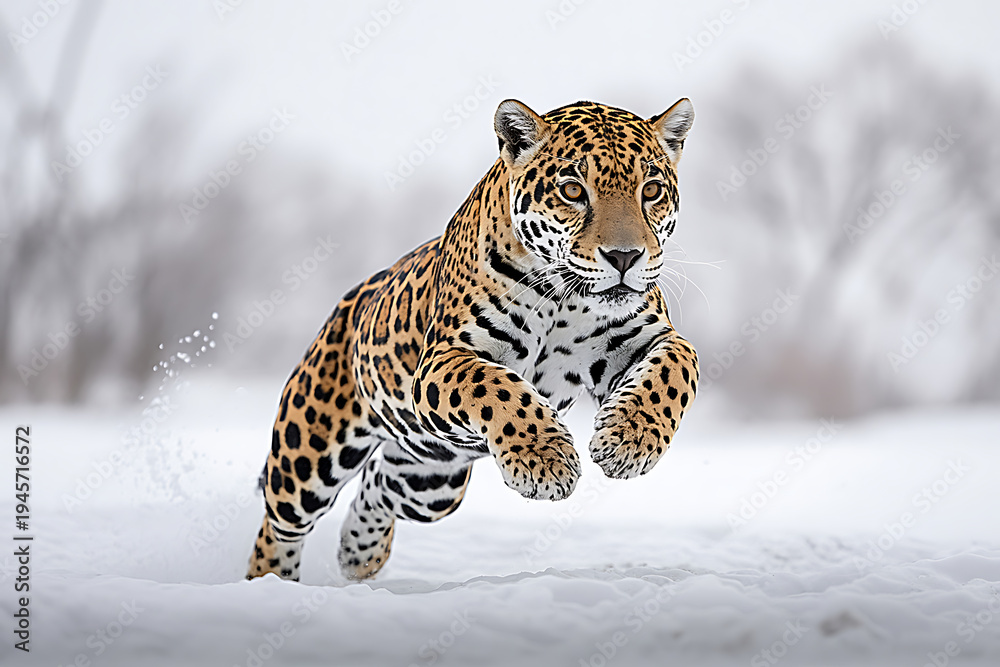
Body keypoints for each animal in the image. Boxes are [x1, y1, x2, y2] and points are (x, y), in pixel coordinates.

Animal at [247, 97, 700, 582]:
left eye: (651, 191)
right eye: (573, 191)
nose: (625, 257)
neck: (565, 297)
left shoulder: (647, 338)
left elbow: (673, 371)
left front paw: (628, 440)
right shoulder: (445, 356)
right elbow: (498, 388)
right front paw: (545, 460)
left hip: (430, 480)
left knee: (379, 485)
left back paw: (359, 553)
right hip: (308, 457)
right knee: (280, 523)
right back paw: (270, 583)